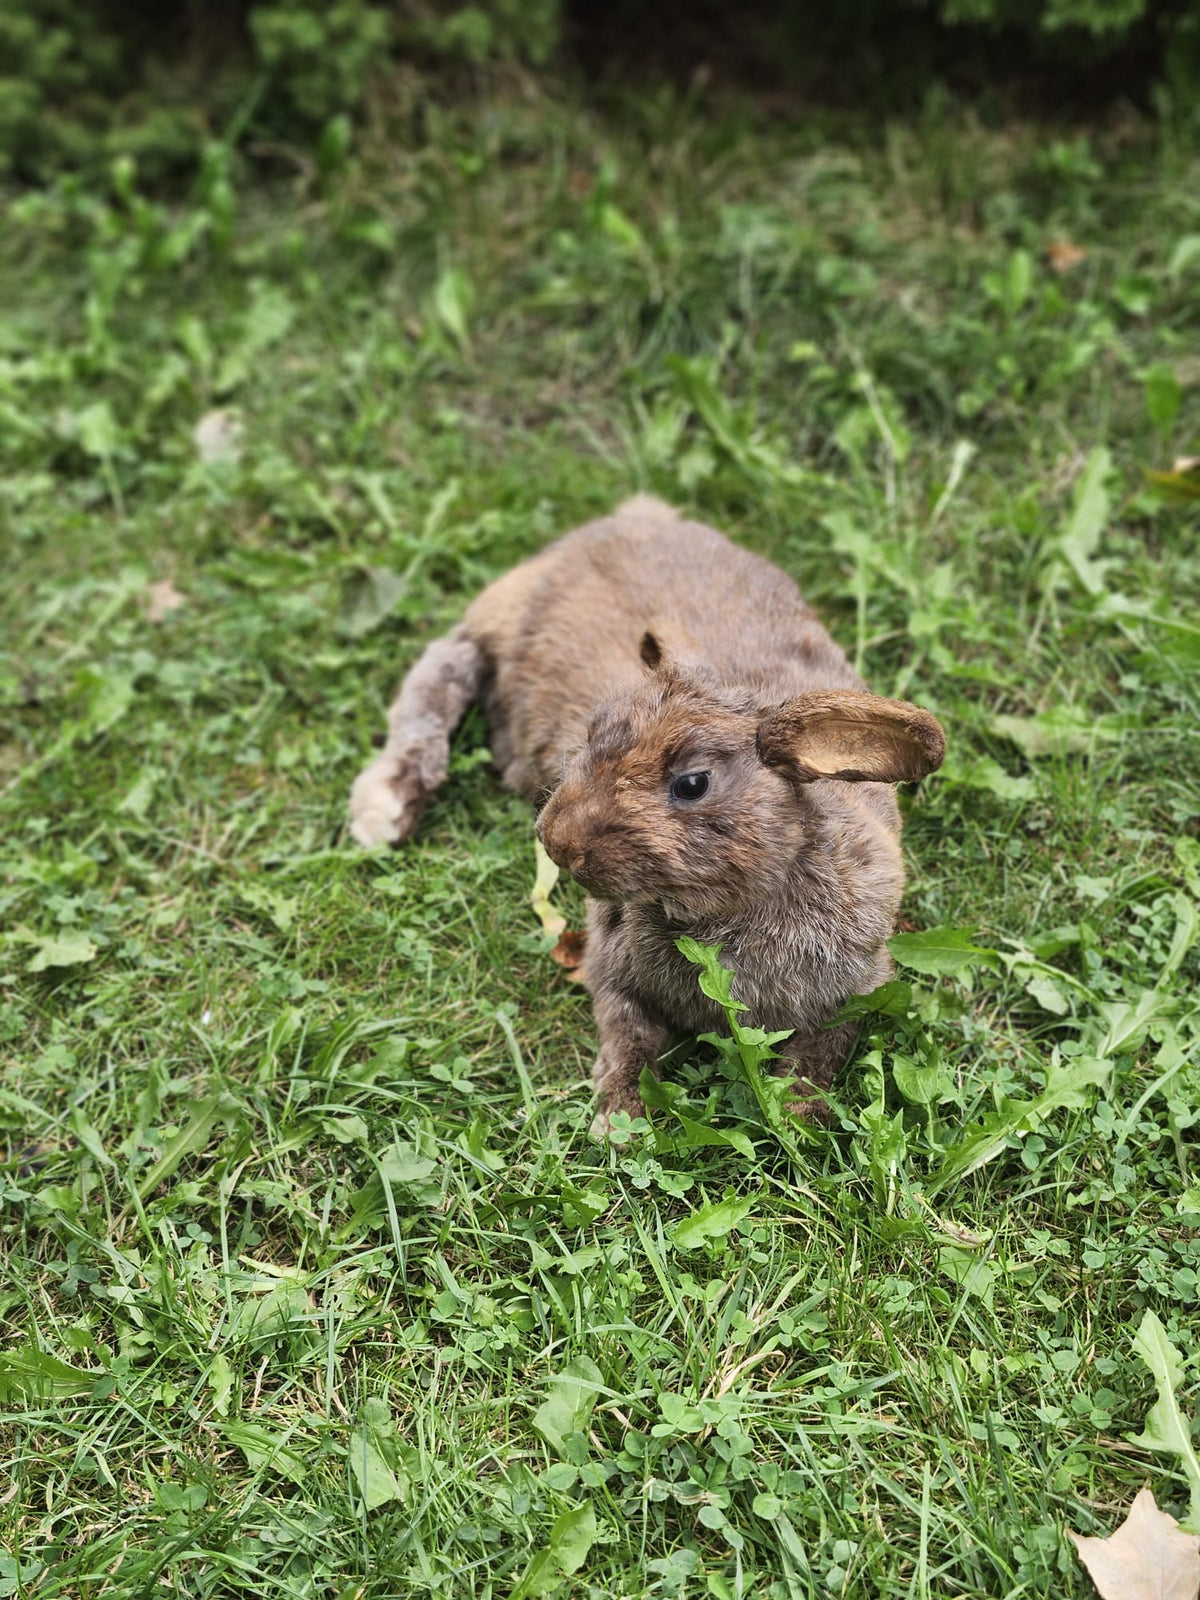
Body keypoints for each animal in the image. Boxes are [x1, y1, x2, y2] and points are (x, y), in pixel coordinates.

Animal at [349, 494, 945, 1135]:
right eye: (592, 731)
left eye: (692, 783)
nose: (556, 842)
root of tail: (632, 516)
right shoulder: (614, 976)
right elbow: (627, 1039)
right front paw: (620, 1121)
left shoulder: (856, 988)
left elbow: (821, 1053)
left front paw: (795, 1115)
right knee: (442, 671)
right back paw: (383, 809)